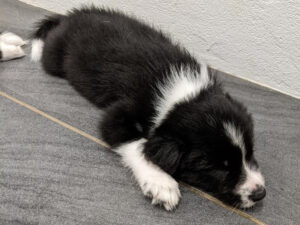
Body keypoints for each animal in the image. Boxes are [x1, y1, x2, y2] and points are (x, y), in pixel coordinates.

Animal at [29, 7, 264, 211]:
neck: (182, 95)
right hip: (55, 58)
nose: (260, 194)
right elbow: (137, 143)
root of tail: (69, 16)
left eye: (250, 151)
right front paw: (161, 183)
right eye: (217, 168)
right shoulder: (120, 114)